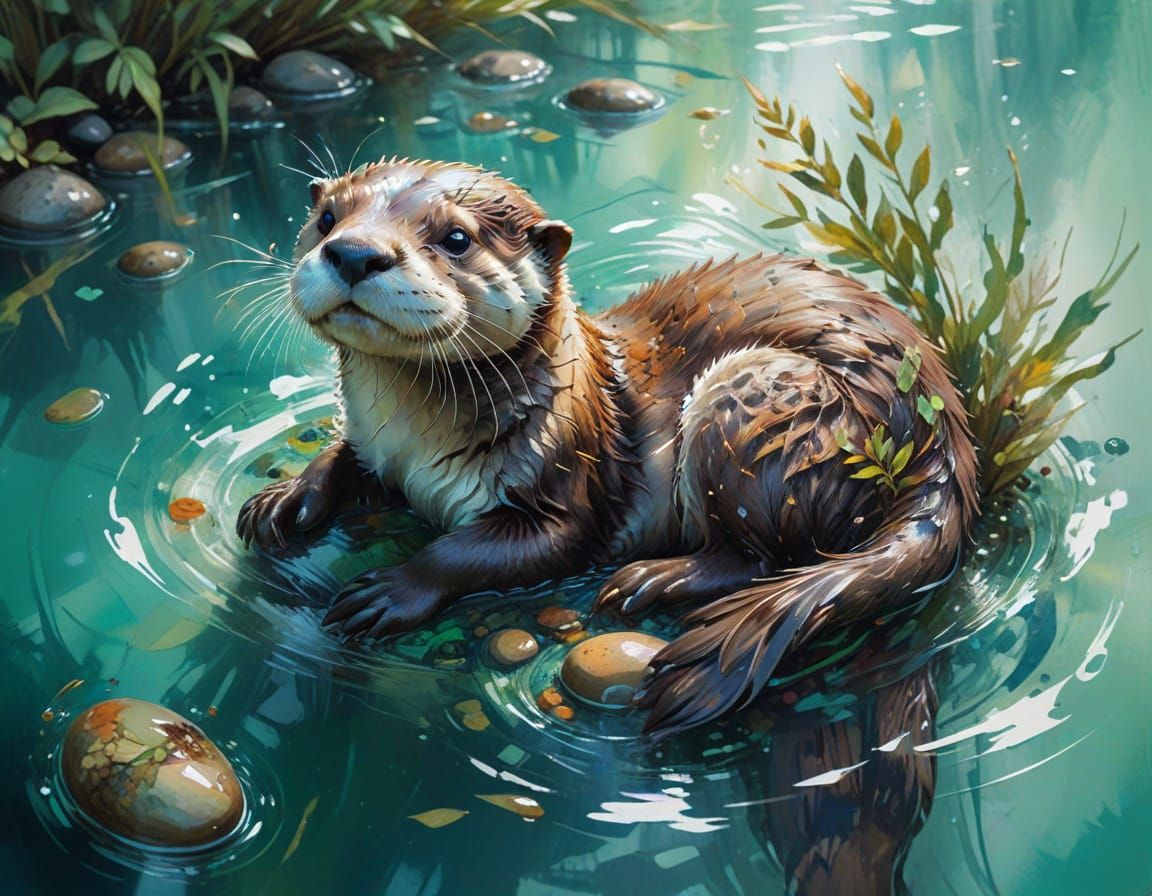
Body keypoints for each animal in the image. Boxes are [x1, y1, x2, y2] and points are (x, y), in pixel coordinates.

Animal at [236, 157, 979, 737]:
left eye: (455, 238)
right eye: (327, 218)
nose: (355, 253)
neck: (414, 446)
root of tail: (943, 440)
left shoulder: (565, 483)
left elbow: (483, 548)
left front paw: (391, 590)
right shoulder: (377, 447)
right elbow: (343, 458)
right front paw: (285, 498)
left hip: (762, 406)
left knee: (767, 556)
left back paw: (652, 579)